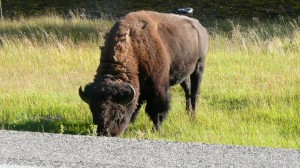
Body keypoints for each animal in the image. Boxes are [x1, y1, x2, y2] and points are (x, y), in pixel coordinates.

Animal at [78, 10, 207, 136]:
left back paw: (193, 118)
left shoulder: (158, 88)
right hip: (184, 74)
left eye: (120, 113)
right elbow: (136, 107)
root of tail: (200, 27)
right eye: (93, 110)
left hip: (199, 66)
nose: (105, 133)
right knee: (187, 91)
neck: (133, 47)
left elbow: (156, 110)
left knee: (195, 93)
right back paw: (188, 113)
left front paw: (156, 130)